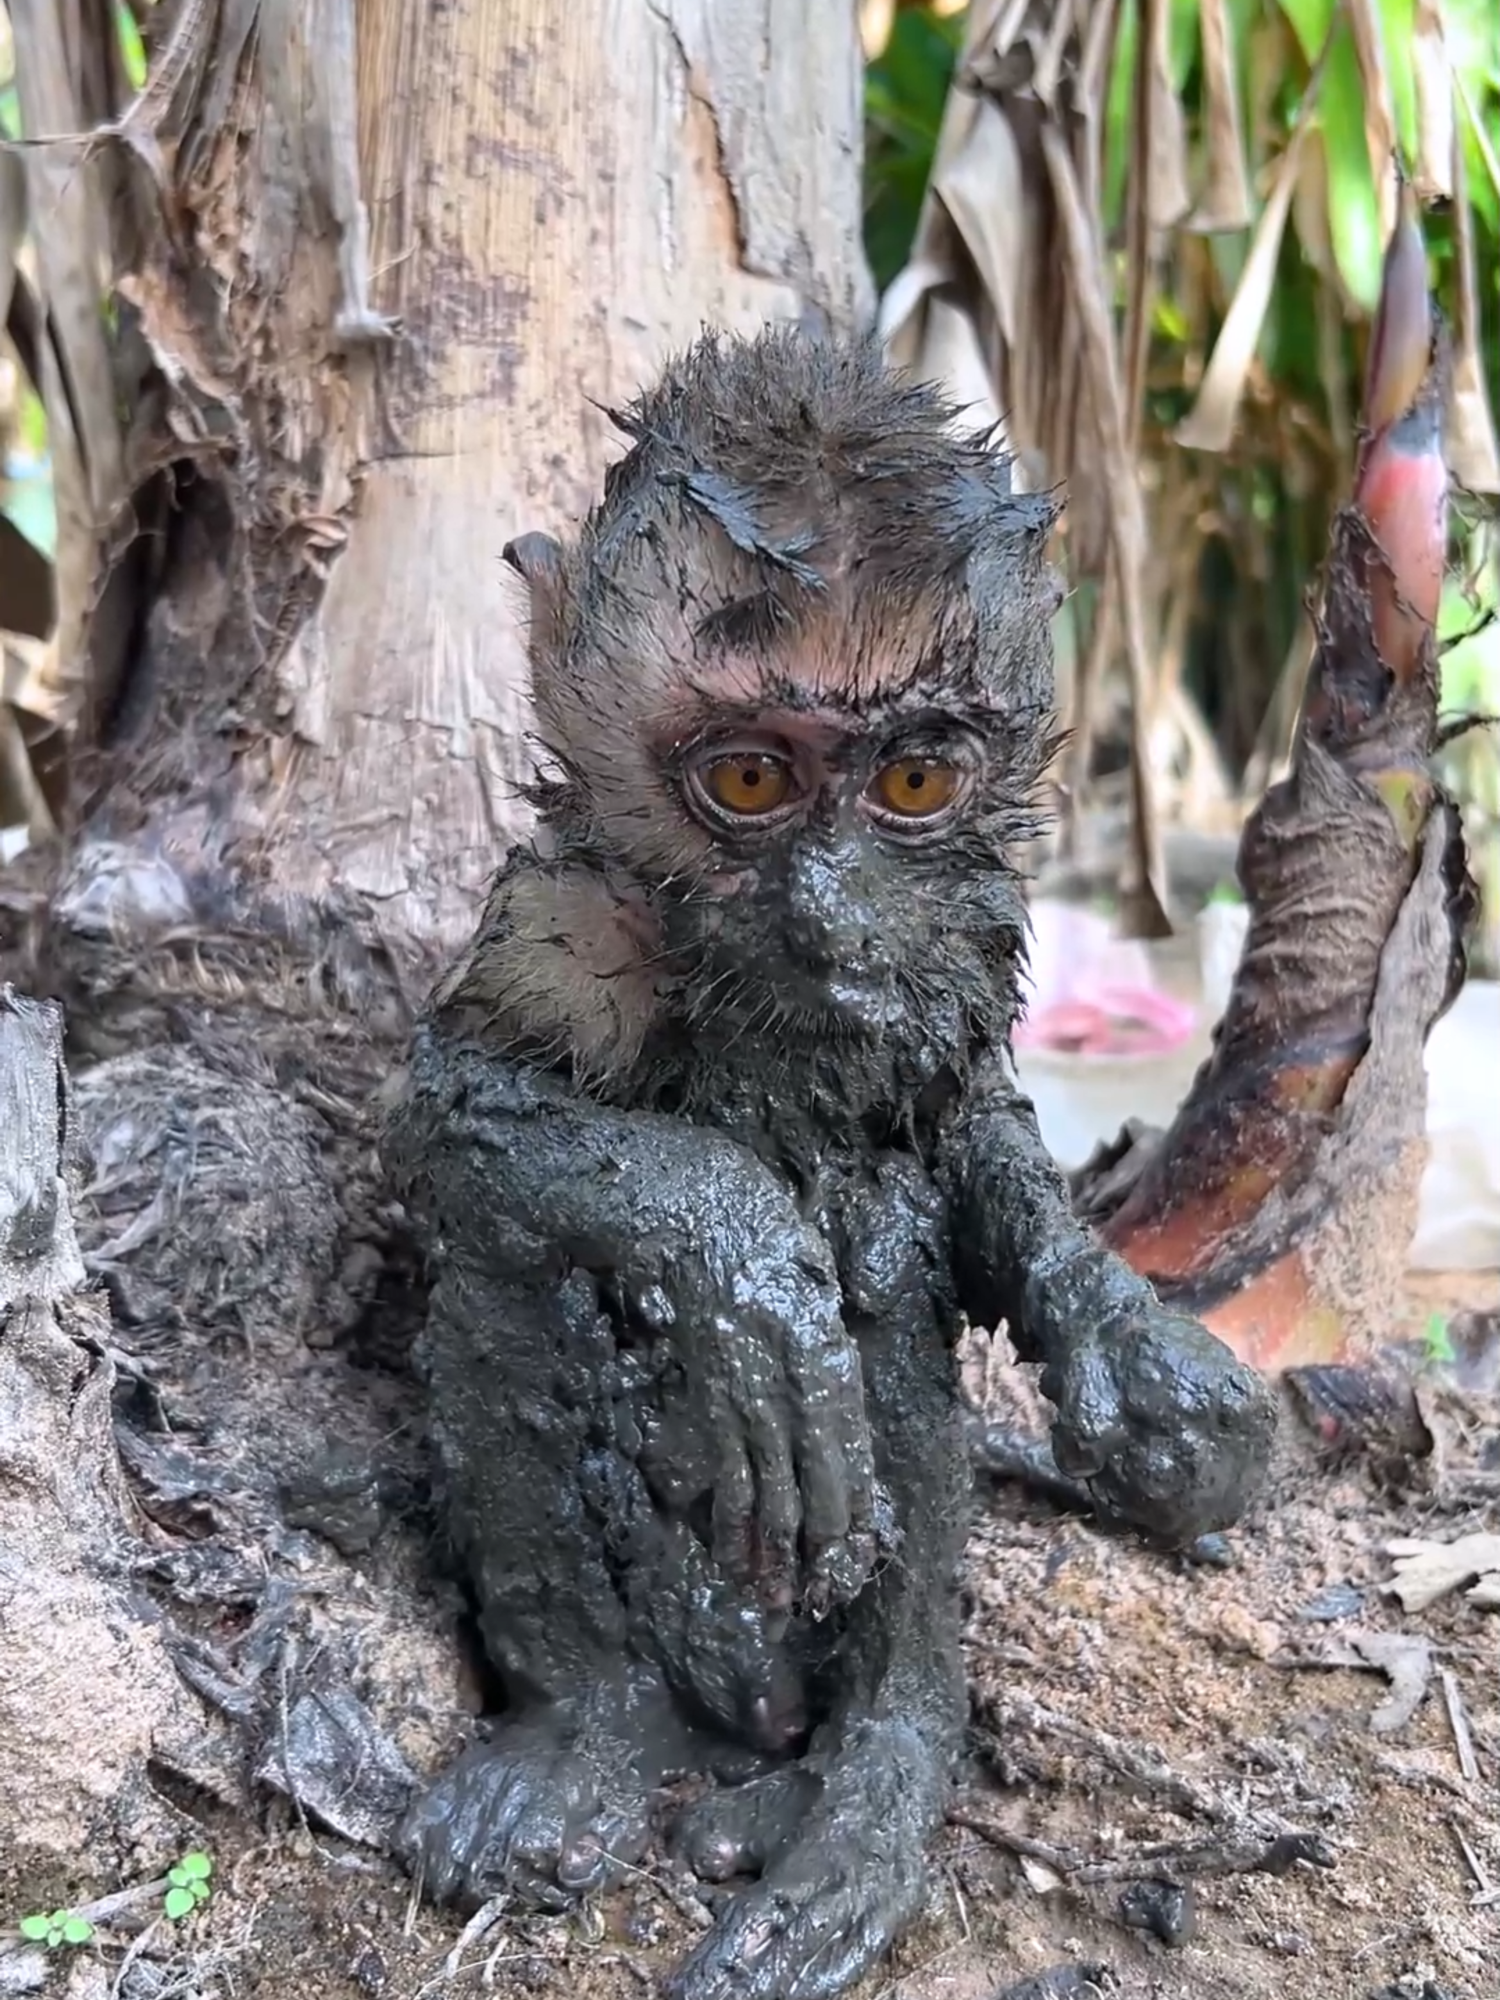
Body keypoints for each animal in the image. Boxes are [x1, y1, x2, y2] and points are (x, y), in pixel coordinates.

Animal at [383, 326, 1277, 2000]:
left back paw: (871, 1784)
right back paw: (584, 1736)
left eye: (914, 785)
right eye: (748, 781)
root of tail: (735, 1726)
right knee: (506, 1259)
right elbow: (451, 1110)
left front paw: (1134, 1347)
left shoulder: (968, 932)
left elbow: (968, 1140)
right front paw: (736, 1258)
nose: (835, 915)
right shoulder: (565, 913)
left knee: (888, 1228)